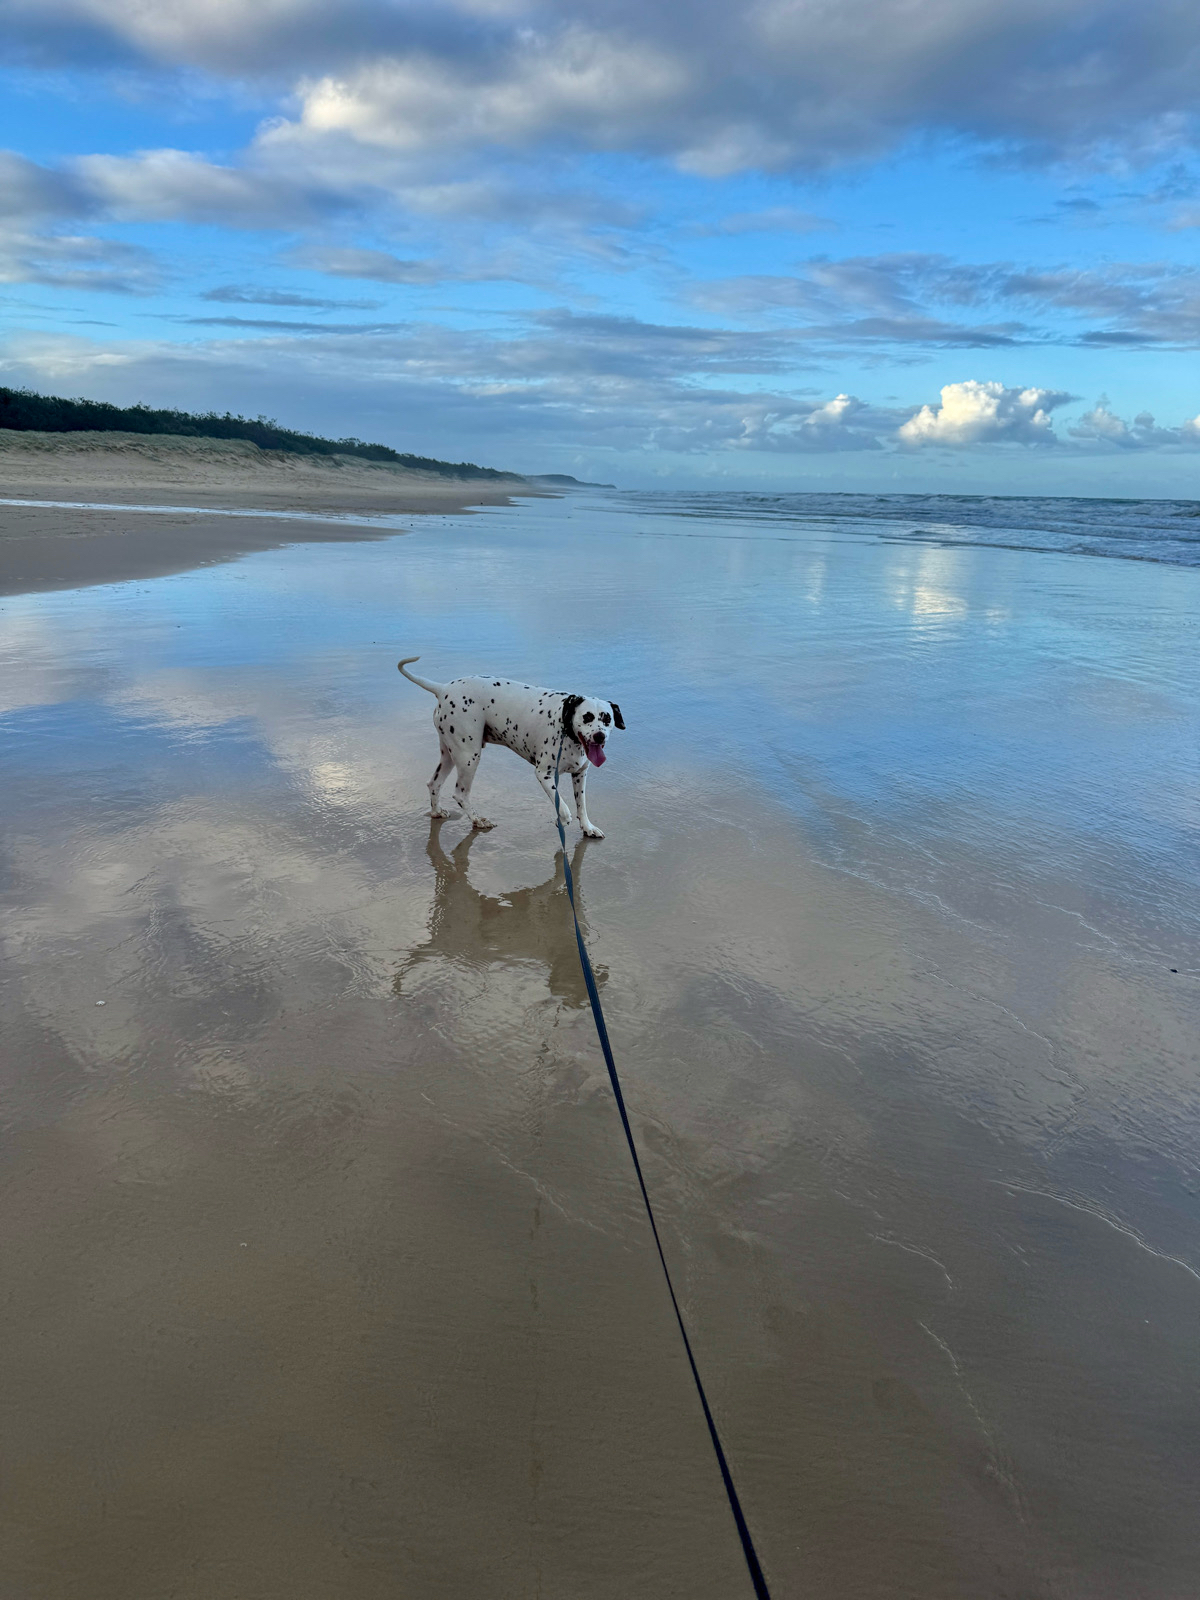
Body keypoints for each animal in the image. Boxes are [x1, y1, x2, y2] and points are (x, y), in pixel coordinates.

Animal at [398, 657, 624, 836]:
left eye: (607, 719)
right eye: (587, 717)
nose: (599, 735)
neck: (566, 726)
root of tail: (443, 687)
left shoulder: (580, 774)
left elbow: (581, 805)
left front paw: (587, 827)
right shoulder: (544, 774)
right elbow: (562, 804)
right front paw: (563, 818)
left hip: (450, 754)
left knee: (434, 783)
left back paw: (437, 812)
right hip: (469, 756)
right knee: (460, 793)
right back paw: (477, 820)